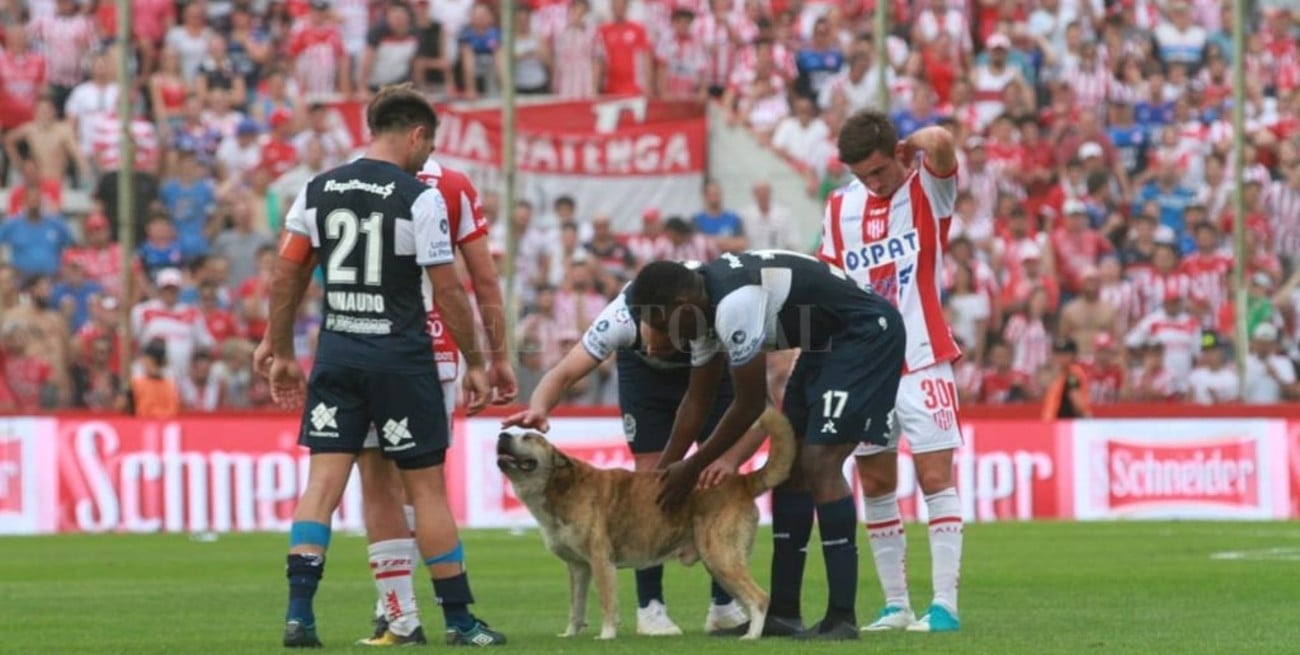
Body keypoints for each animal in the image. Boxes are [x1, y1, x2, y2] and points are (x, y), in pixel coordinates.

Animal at [493, 410, 790, 639]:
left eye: (529, 437)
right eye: (514, 433)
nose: (502, 436)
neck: (560, 486)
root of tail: (742, 481)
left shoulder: (600, 560)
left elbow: (607, 602)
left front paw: (606, 636)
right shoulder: (577, 567)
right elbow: (575, 606)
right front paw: (570, 635)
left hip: (720, 556)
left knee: (760, 597)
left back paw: (751, 636)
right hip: (720, 562)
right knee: (749, 598)